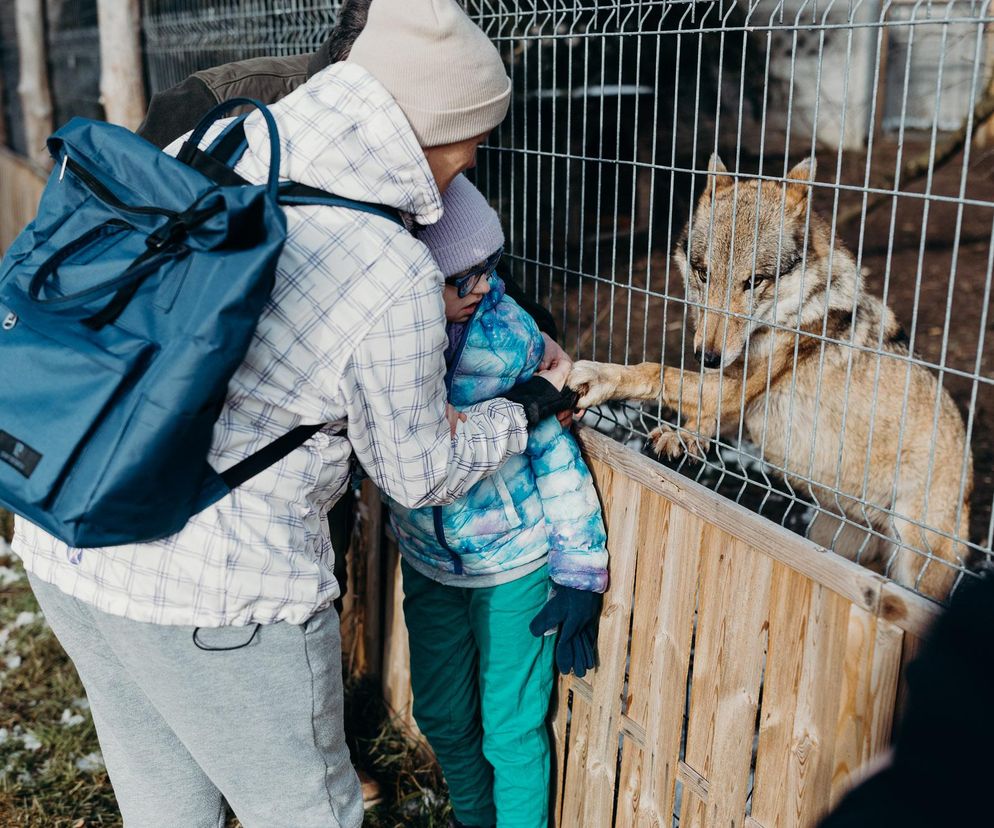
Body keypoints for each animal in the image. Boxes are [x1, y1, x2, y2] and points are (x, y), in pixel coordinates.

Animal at [564, 155, 968, 600]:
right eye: (703, 273)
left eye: (754, 281)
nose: (706, 356)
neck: (792, 311)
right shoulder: (730, 393)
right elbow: (699, 411)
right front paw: (684, 438)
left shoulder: (734, 387)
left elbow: (658, 372)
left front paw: (599, 377)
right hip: (832, 534)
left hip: (913, 563)